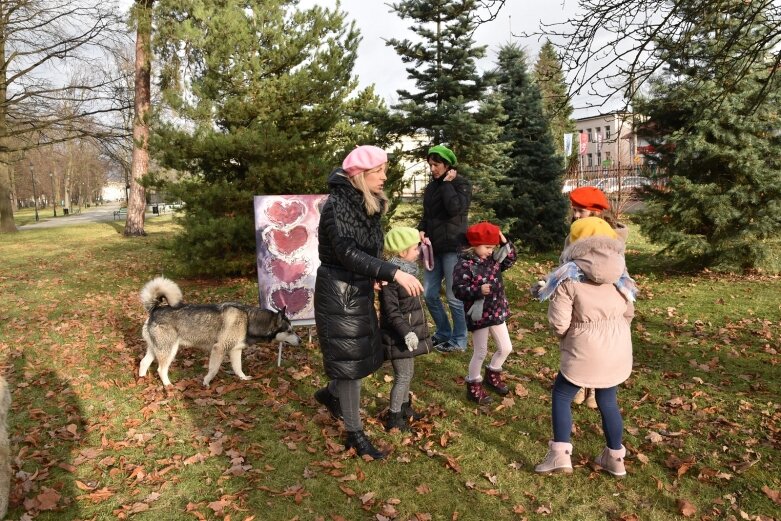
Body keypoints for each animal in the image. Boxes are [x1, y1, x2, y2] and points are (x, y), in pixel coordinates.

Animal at [139, 276, 300, 386]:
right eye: (290, 331)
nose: (301, 340)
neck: (248, 320)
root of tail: (155, 309)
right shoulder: (219, 349)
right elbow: (213, 369)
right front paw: (206, 382)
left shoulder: (235, 351)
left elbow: (238, 368)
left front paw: (243, 378)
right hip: (169, 349)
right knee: (161, 369)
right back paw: (168, 385)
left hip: (156, 349)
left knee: (143, 362)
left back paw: (141, 379)